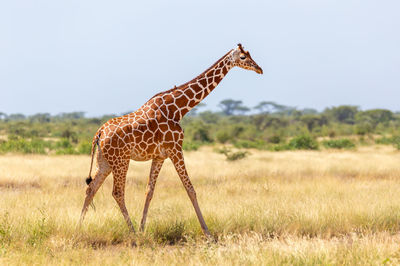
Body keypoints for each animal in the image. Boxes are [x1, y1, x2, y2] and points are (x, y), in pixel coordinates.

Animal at [79, 43, 264, 237]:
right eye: (243, 57)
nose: (259, 69)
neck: (178, 109)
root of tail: (99, 133)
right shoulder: (176, 149)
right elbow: (190, 189)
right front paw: (207, 233)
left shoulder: (160, 156)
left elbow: (149, 191)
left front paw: (143, 229)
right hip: (121, 160)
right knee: (117, 192)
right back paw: (132, 233)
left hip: (105, 162)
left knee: (91, 188)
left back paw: (78, 229)